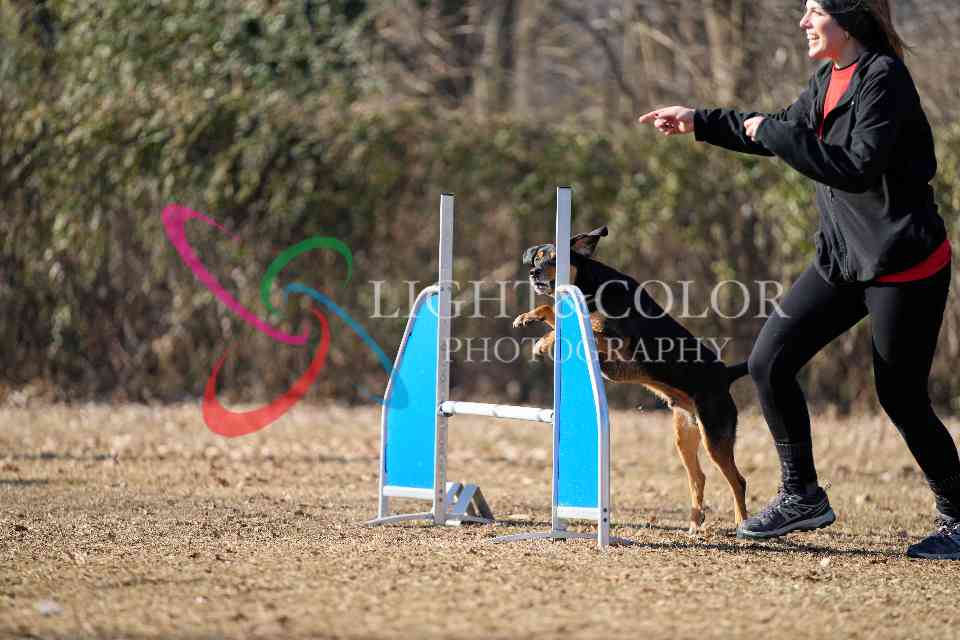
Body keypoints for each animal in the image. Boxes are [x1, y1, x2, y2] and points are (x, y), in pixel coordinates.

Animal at [513, 226, 750, 532]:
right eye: (537, 258)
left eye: (554, 259)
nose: (533, 273)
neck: (592, 285)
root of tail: (726, 374)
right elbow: (551, 312)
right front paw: (527, 317)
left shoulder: (616, 340)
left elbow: (581, 323)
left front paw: (544, 342)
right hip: (685, 435)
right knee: (699, 477)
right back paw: (694, 524)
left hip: (715, 435)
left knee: (738, 481)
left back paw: (743, 523)